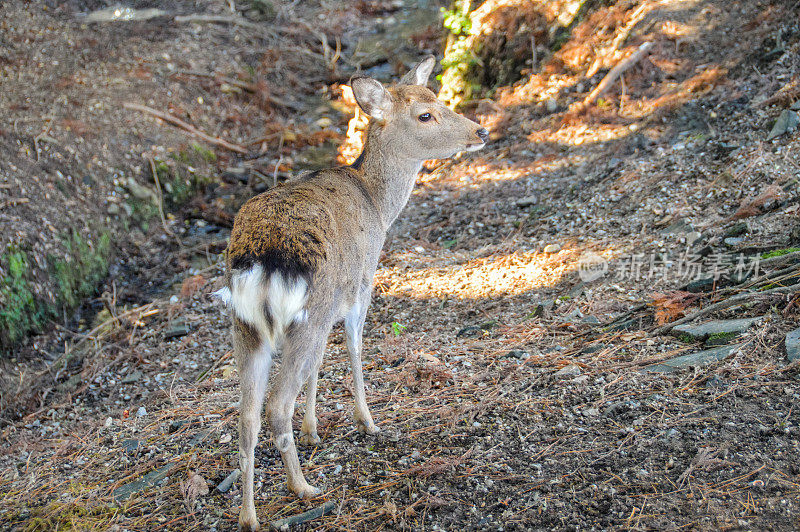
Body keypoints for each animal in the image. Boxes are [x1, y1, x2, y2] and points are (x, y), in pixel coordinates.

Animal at [212, 56, 488, 528]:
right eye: (425, 114)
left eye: (440, 99)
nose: (479, 131)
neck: (379, 205)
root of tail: (264, 263)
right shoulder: (361, 283)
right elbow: (356, 350)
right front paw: (367, 421)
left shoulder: (329, 309)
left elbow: (320, 362)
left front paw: (314, 429)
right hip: (307, 312)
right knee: (275, 405)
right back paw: (302, 487)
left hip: (247, 326)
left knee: (246, 417)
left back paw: (249, 516)